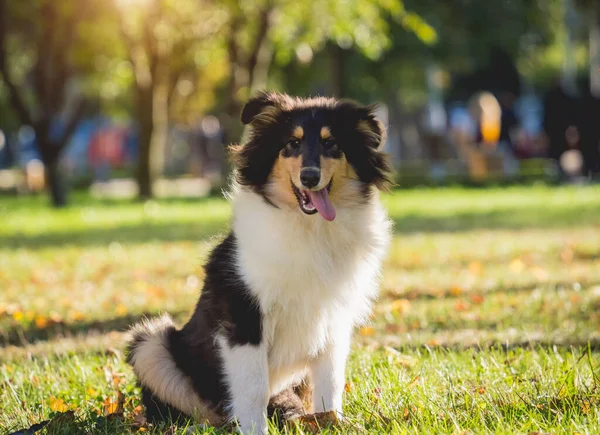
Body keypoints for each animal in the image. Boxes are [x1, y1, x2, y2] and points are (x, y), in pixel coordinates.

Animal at [125, 93, 394, 435]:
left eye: (332, 144)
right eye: (292, 143)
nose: (309, 177)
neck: (310, 228)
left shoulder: (334, 320)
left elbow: (330, 381)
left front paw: (330, 420)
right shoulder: (244, 313)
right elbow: (253, 385)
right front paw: (255, 429)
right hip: (151, 343)